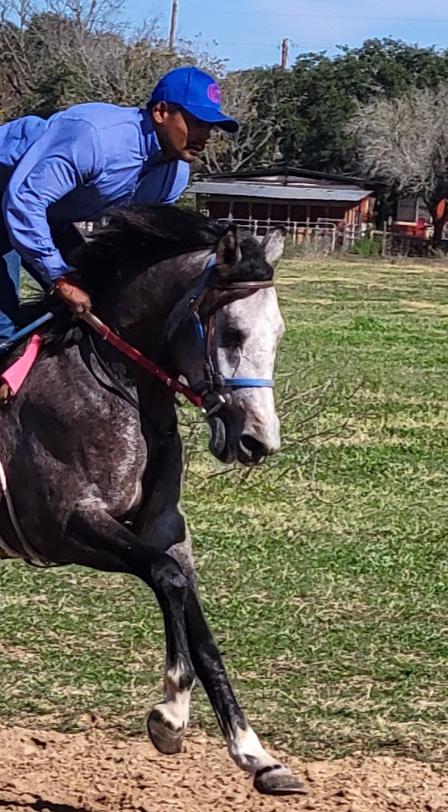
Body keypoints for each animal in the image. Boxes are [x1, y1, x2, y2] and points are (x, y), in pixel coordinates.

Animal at [0, 206, 305, 796]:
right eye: (233, 332)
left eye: (278, 333)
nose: (259, 441)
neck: (115, 382)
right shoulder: (68, 525)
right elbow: (166, 577)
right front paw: (171, 713)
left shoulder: (164, 526)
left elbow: (198, 623)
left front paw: (256, 754)